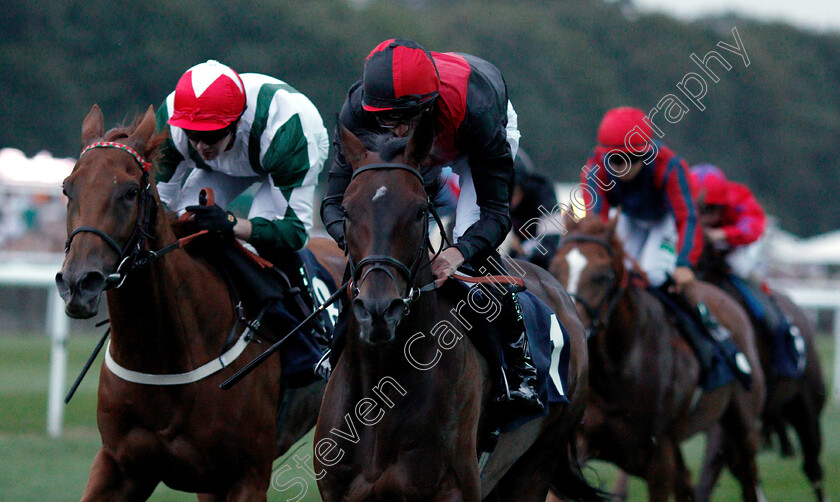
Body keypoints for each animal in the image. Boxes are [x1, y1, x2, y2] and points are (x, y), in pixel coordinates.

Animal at [55, 104, 342, 500]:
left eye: (130, 191)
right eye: (67, 187)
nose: (78, 283)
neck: (167, 359)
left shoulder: (247, 476)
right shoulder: (121, 465)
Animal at [548, 216, 764, 502]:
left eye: (602, 276)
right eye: (554, 269)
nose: (572, 330)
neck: (617, 372)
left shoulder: (659, 458)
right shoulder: (580, 443)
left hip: (743, 425)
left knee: (748, 475)